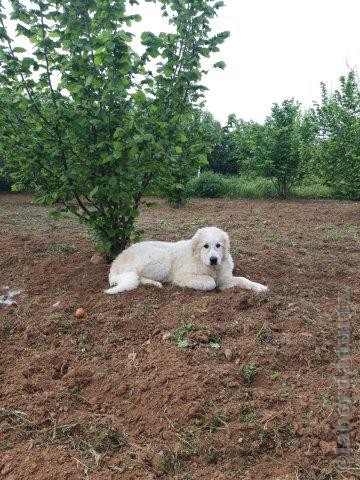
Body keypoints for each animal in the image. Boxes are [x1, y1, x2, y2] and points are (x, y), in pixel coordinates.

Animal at [104, 227, 268, 294]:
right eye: (205, 246)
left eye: (218, 245)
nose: (214, 259)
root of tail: (116, 261)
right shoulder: (183, 276)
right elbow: (210, 282)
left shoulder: (225, 278)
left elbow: (243, 280)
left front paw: (260, 287)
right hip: (161, 256)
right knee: (137, 277)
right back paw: (155, 283)